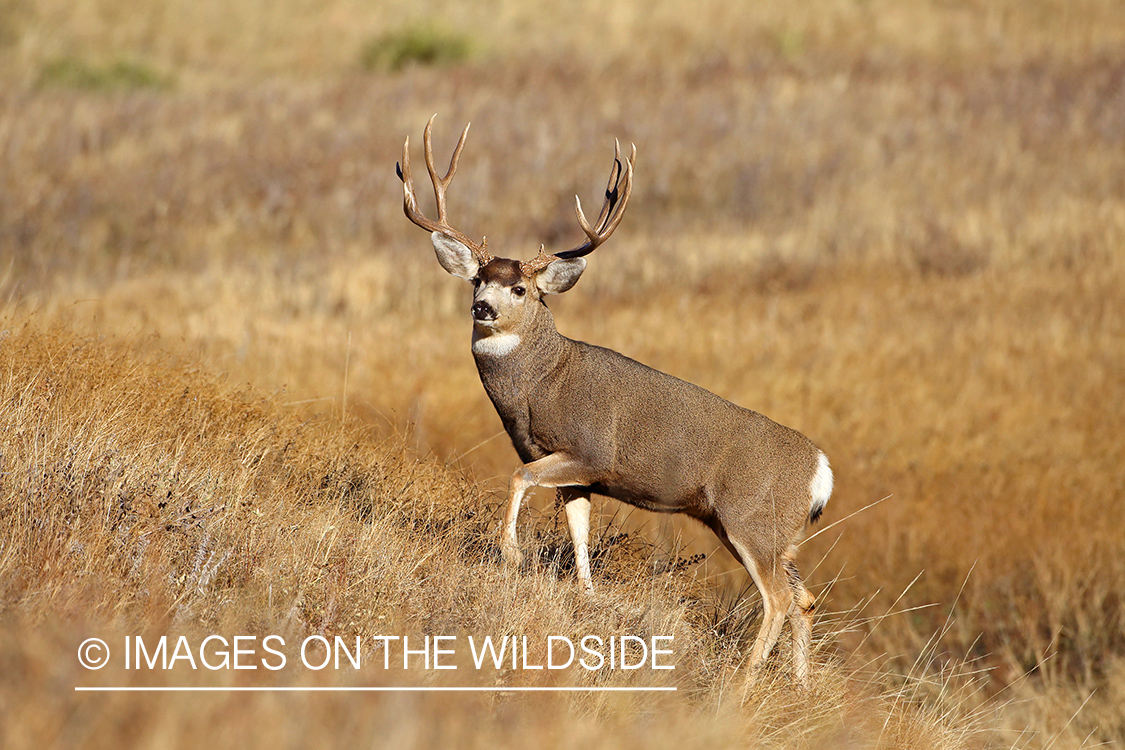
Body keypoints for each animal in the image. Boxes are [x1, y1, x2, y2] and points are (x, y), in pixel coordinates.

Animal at [400, 117, 832, 688]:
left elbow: (519, 478)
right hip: (771, 531)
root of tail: (821, 471)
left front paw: (511, 554)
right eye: (478, 279)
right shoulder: (576, 475)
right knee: (805, 598)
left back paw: (742, 681)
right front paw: (584, 594)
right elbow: (579, 533)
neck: (542, 384)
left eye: (520, 289)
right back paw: (801, 686)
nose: (482, 307)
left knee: (781, 599)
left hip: (750, 518)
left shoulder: (588, 451)